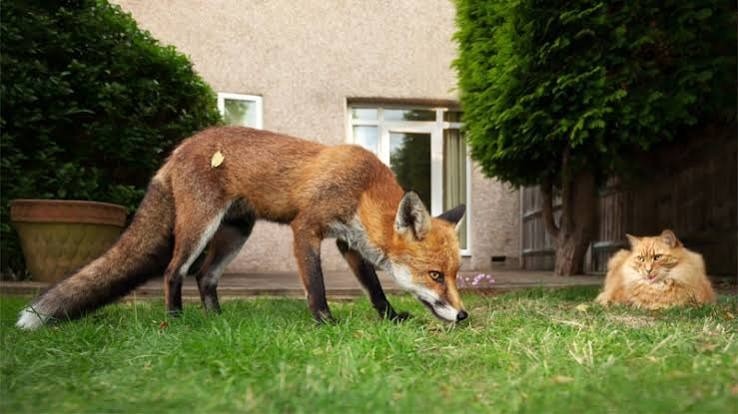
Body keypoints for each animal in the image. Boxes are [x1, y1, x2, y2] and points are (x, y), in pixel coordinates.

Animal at [17, 126, 469, 329]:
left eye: (454, 274)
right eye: (435, 275)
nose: (464, 315)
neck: (362, 188)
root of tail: (180, 147)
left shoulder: (349, 244)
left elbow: (375, 289)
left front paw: (391, 317)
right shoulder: (306, 228)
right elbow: (316, 284)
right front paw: (324, 320)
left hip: (236, 234)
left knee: (205, 276)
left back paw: (216, 319)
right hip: (199, 226)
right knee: (175, 271)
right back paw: (176, 318)